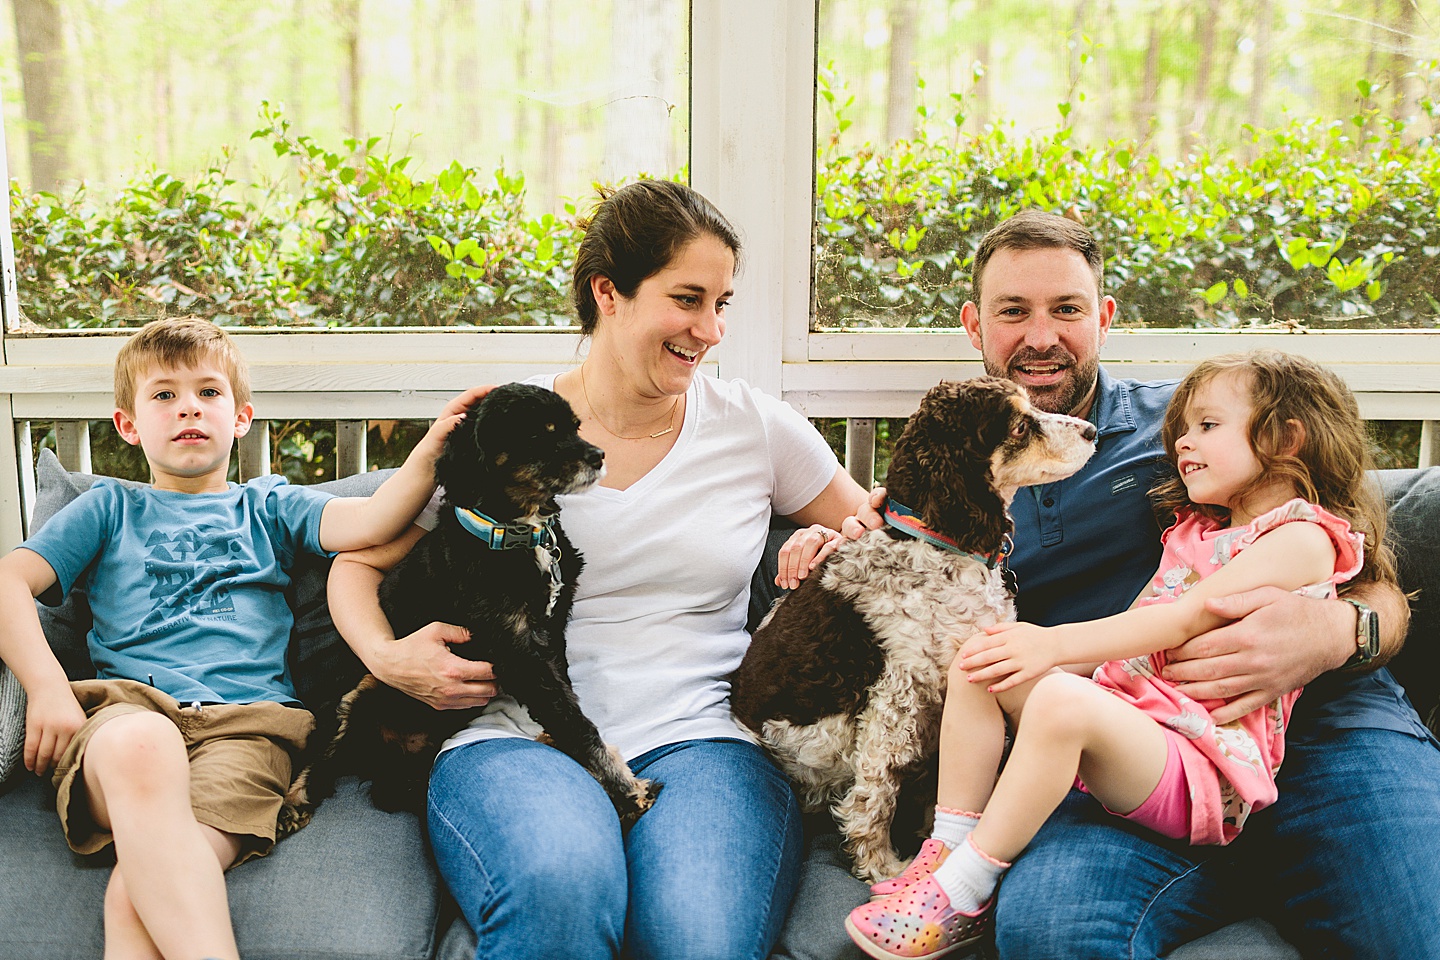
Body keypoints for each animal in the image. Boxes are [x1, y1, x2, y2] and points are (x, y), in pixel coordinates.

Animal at [279, 382, 659, 834]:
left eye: (574, 427)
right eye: (536, 434)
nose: (599, 455)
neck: (515, 533)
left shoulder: (551, 635)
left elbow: (565, 701)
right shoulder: (515, 649)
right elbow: (571, 718)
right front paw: (627, 790)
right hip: (359, 691)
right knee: (321, 755)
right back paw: (293, 803)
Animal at [731, 377, 1088, 886]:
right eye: (1020, 425)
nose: (1092, 431)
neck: (936, 541)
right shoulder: (897, 696)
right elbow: (876, 794)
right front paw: (881, 867)